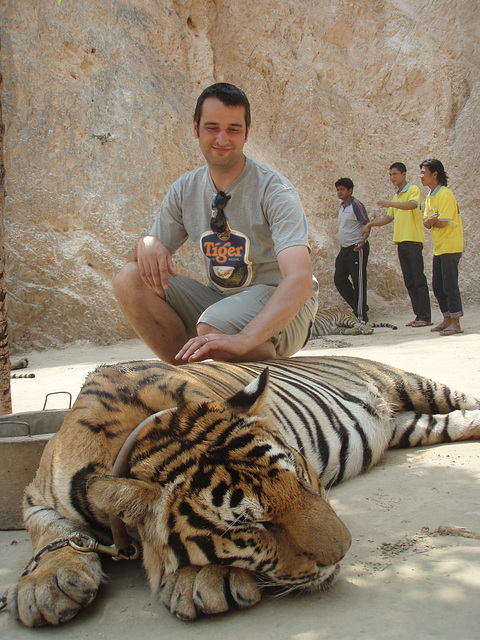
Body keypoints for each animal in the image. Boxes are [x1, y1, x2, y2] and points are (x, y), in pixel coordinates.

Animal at [4, 358, 480, 628]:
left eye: (302, 478)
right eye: (249, 525)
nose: (344, 553)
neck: (142, 429)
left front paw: (203, 580)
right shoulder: (35, 496)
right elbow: (51, 532)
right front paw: (44, 585)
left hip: (412, 383)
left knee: (464, 399)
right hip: (413, 425)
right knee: (453, 422)